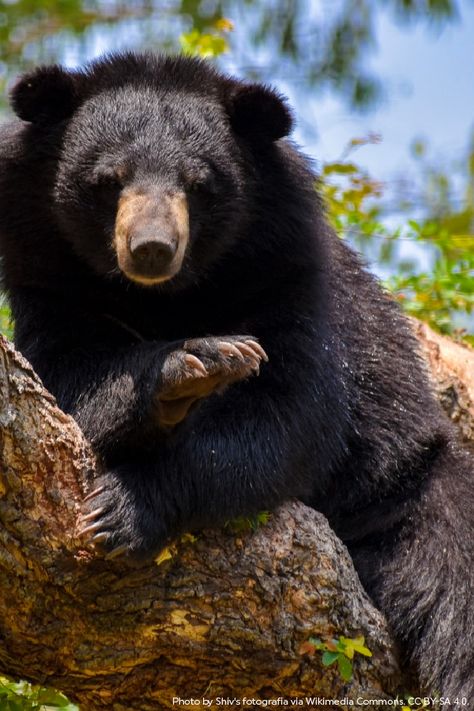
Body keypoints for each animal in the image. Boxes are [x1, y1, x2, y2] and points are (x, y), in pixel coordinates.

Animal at [0, 52, 474, 700]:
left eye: (199, 185)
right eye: (108, 179)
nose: (151, 249)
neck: (165, 297)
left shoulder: (285, 272)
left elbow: (290, 414)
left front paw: (121, 510)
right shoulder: (46, 276)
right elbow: (69, 382)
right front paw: (192, 366)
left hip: (414, 485)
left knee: (454, 587)